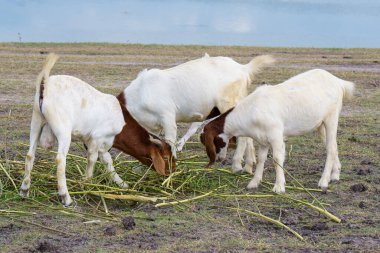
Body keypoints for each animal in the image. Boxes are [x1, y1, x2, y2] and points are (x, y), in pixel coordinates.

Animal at [20, 53, 175, 206]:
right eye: (166, 157)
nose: (172, 171)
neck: (121, 121)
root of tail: (46, 86)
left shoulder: (104, 144)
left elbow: (108, 161)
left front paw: (122, 184)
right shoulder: (96, 138)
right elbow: (92, 159)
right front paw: (86, 183)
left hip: (36, 122)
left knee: (30, 155)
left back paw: (24, 190)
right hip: (63, 129)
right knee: (60, 159)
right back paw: (66, 197)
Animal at [121, 54, 274, 173]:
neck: (140, 93)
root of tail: (243, 69)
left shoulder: (167, 118)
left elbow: (170, 142)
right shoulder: (152, 128)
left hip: (229, 104)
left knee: (243, 136)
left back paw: (237, 166)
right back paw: (249, 165)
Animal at [200, 68, 354, 192]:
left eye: (214, 141)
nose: (219, 159)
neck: (251, 110)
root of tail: (338, 81)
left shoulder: (276, 136)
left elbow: (276, 159)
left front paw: (279, 186)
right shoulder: (262, 140)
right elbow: (261, 159)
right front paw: (254, 183)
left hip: (331, 117)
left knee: (330, 148)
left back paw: (323, 181)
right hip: (320, 124)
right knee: (333, 146)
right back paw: (335, 175)